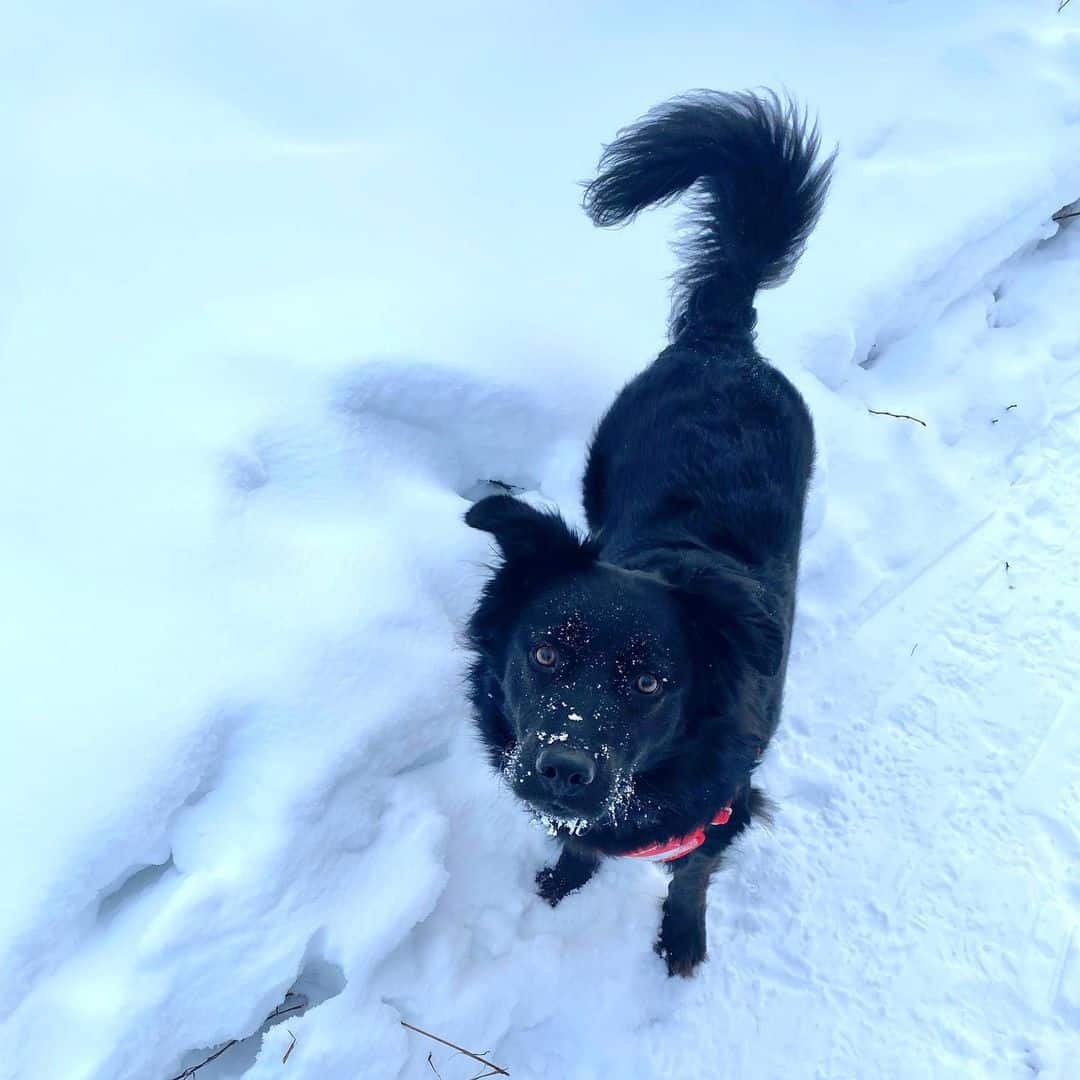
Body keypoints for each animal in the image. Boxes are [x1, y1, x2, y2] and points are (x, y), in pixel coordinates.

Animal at [460, 88, 829, 976]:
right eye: (544, 653)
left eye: (653, 683)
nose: (563, 769)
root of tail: (721, 341)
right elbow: (579, 845)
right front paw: (566, 877)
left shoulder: (727, 810)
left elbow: (691, 875)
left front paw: (682, 935)